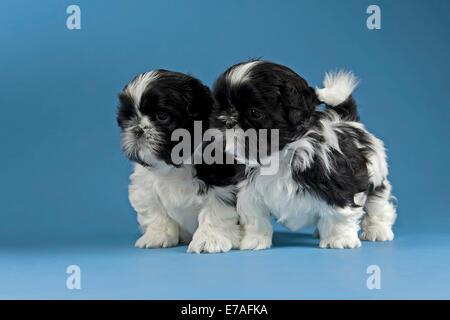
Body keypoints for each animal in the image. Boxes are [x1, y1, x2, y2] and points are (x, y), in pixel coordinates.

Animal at [118, 69, 241, 252]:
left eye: (162, 116)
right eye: (130, 117)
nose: (138, 129)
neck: (176, 165)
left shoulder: (221, 184)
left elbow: (214, 210)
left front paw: (209, 239)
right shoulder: (144, 187)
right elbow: (155, 211)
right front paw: (158, 235)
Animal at [213, 60, 396, 250]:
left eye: (255, 113)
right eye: (221, 107)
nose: (227, 121)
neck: (280, 156)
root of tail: (349, 121)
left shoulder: (339, 183)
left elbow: (340, 211)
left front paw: (339, 239)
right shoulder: (250, 191)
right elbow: (256, 217)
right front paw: (254, 240)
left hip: (376, 176)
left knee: (378, 204)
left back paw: (377, 230)